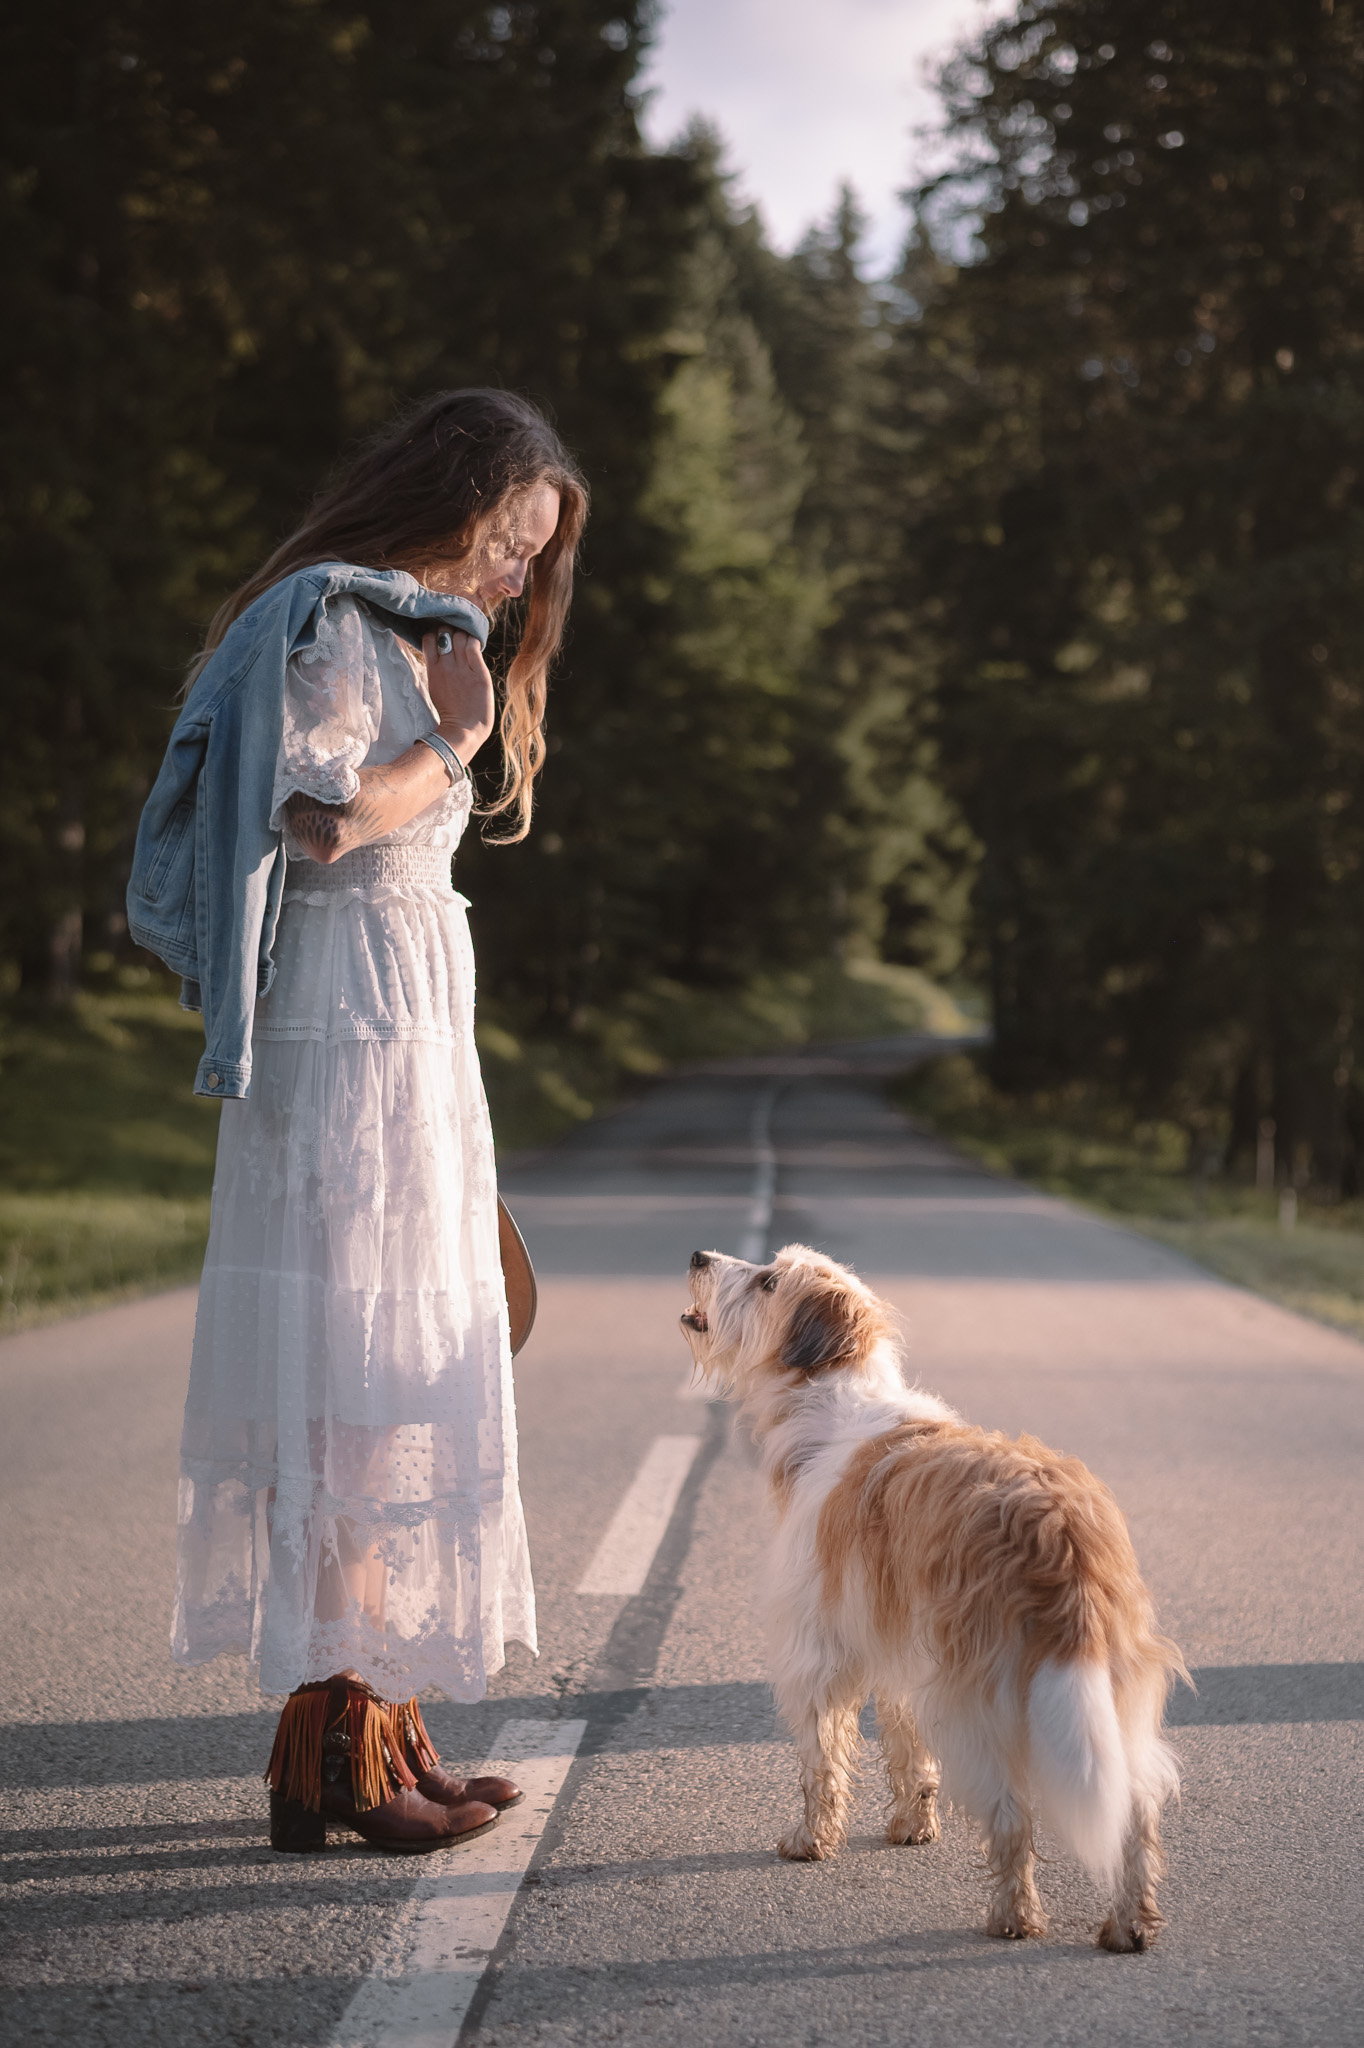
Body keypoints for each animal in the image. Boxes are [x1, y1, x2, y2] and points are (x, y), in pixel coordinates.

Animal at [675, 1236, 1179, 1941]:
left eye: (769, 1281)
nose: (698, 1255)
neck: (830, 1399)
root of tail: (1057, 1523)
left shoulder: (818, 1647)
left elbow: (820, 1756)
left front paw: (811, 1840)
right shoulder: (902, 1644)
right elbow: (907, 1746)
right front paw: (913, 1823)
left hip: (980, 1703)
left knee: (1012, 1813)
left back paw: (1014, 1915)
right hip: (1110, 1693)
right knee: (1135, 1803)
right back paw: (1128, 1924)